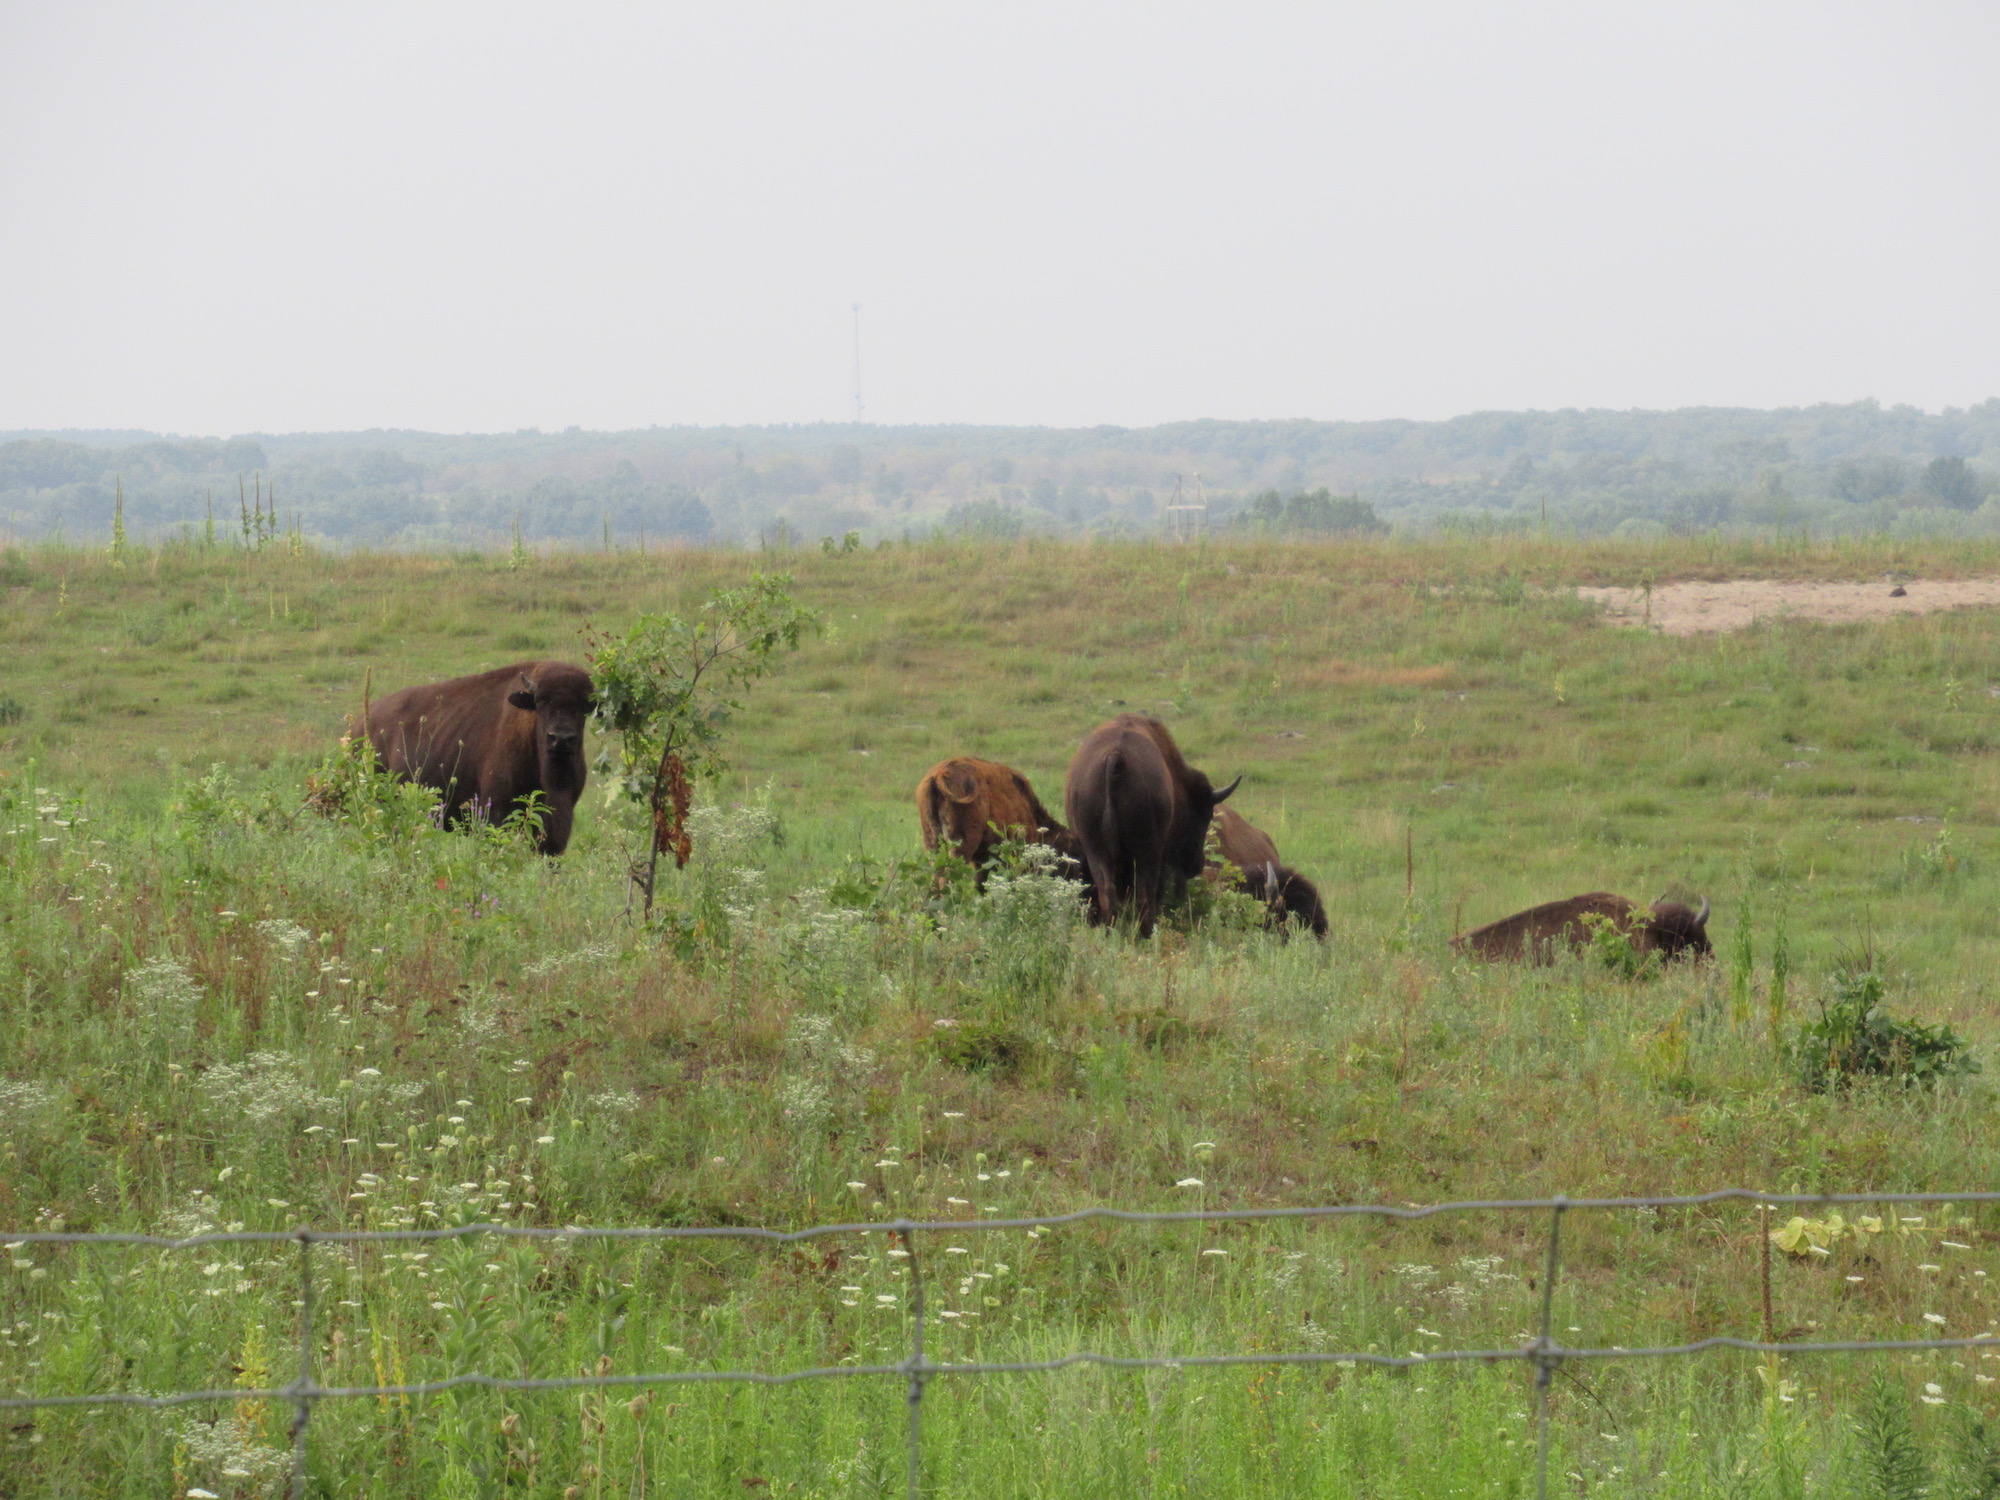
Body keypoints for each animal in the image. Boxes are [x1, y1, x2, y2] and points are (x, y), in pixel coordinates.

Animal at [1064, 713, 1238, 936]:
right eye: (1206, 815)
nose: (1196, 864)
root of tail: (1116, 757)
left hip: (1096, 850)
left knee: (1108, 893)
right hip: (1148, 854)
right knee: (1145, 895)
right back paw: (1148, 933)